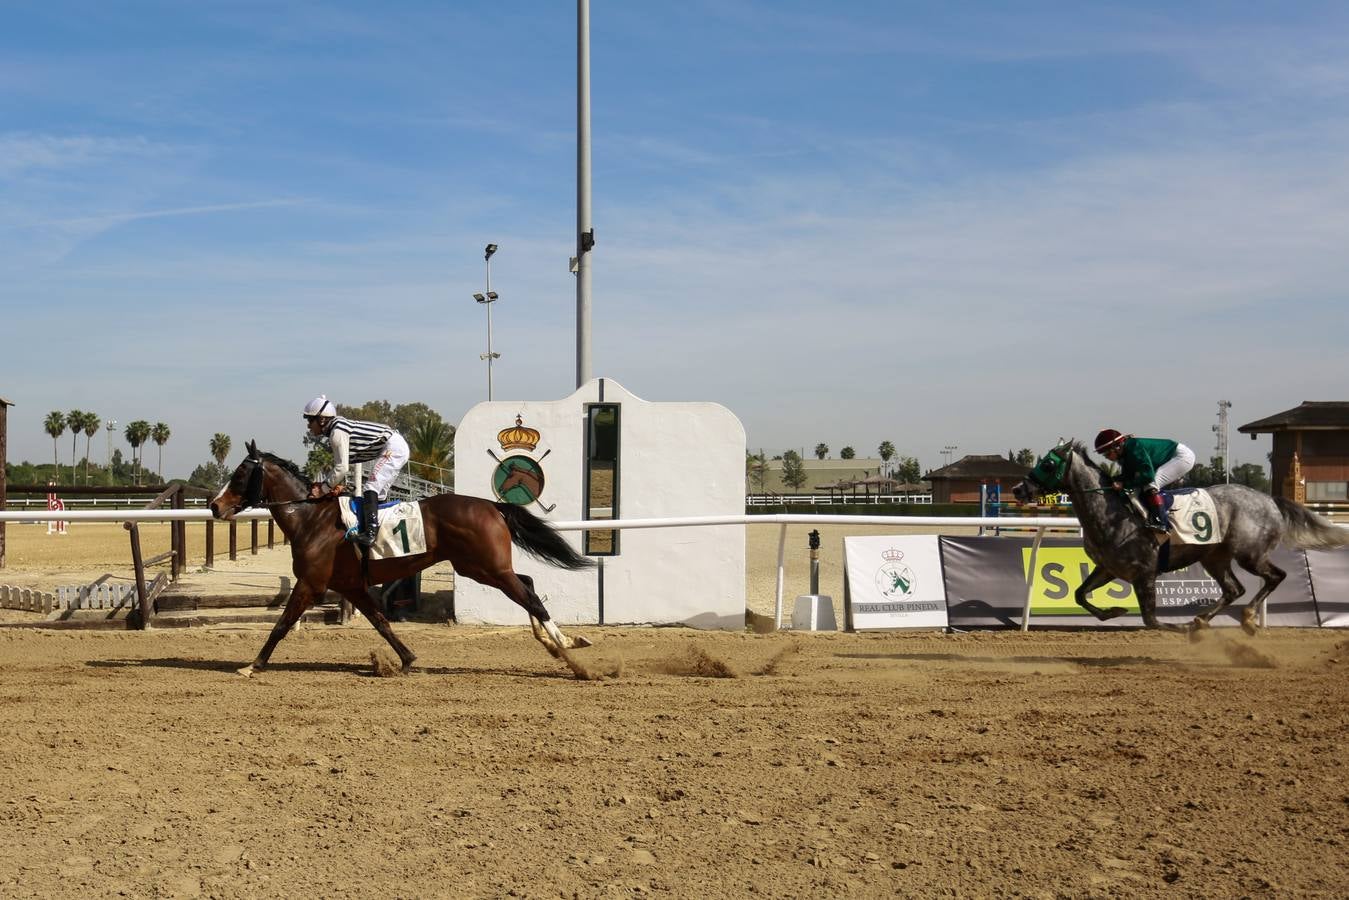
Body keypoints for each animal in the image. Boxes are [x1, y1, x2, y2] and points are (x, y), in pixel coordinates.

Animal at [207, 439, 593, 680]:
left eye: (239, 474)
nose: (214, 505)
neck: (311, 519)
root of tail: (491, 505)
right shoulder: (351, 586)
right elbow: (382, 622)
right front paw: (406, 661)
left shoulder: (311, 584)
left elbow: (282, 624)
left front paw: (253, 665)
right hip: (479, 567)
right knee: (527, 585)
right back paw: (554, 644)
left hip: (487, 567)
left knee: (528, 595)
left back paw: (567, 646)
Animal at [1014, 442, 1343, 634]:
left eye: (1048, 464)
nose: (1018, 489)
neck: (1111, 513)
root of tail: (1270, 500)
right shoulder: (1108, 568)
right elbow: (1080, 594)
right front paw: (1114, 611)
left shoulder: (1144, 572)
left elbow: (1152, 621)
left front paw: (1177, 625)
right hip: (1215, 557)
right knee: (1233, 589)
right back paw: (1202, 619)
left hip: (1250, 554)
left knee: (1275, 576)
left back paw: (1245, 617)